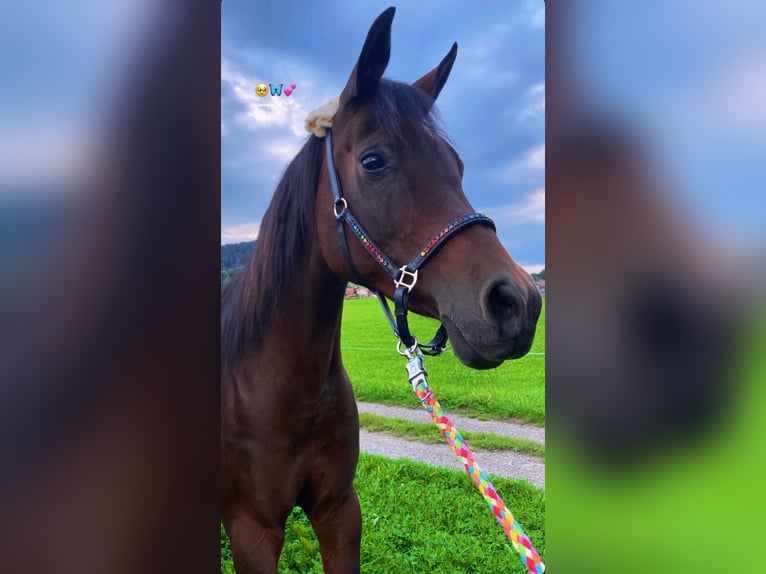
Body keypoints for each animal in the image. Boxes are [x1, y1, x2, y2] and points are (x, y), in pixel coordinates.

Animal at [221, 7, 542, 573]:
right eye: (373, 161)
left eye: (458, 165)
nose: (517, 303)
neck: (284, 388)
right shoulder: (252, 529)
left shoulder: (338, 510)